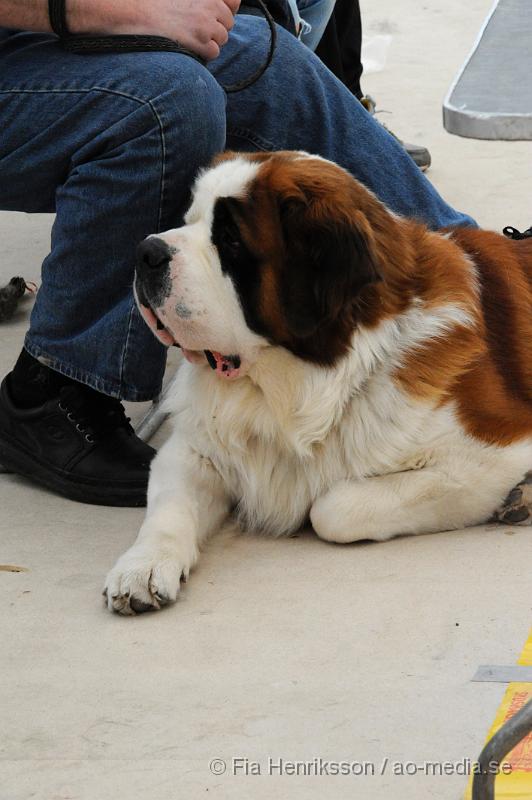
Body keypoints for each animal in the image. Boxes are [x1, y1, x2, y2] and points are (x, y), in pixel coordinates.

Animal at [104, 148, 532, 612]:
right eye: (189, 219)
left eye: (231, 239)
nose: (146, 251)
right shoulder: (195, 447)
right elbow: (169, 505)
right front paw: (144, 565)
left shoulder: (489, 456)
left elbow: (332, 508)